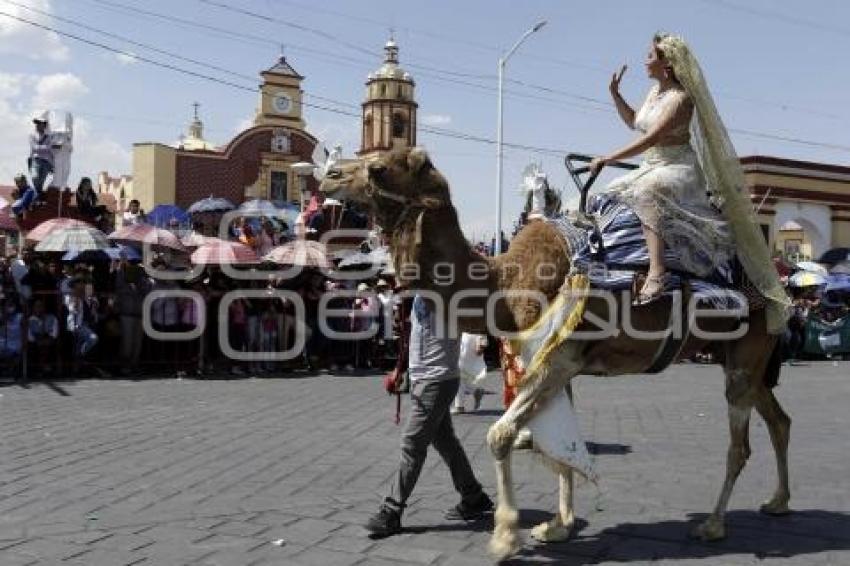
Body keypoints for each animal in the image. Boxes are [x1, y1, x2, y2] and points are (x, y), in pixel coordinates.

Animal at [318, 148, 788, 564]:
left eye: (379, 167)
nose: (329, 175)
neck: (503, 282)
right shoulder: (557, 363)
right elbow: (559, 446)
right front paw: (558, 526)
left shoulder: (559, 357)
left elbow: (501, 435)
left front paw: (506, 536)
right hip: (736, 354)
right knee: (779, 419)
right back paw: (778, 501)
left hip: (747, 349)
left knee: (739, 445)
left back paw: (713, 524)